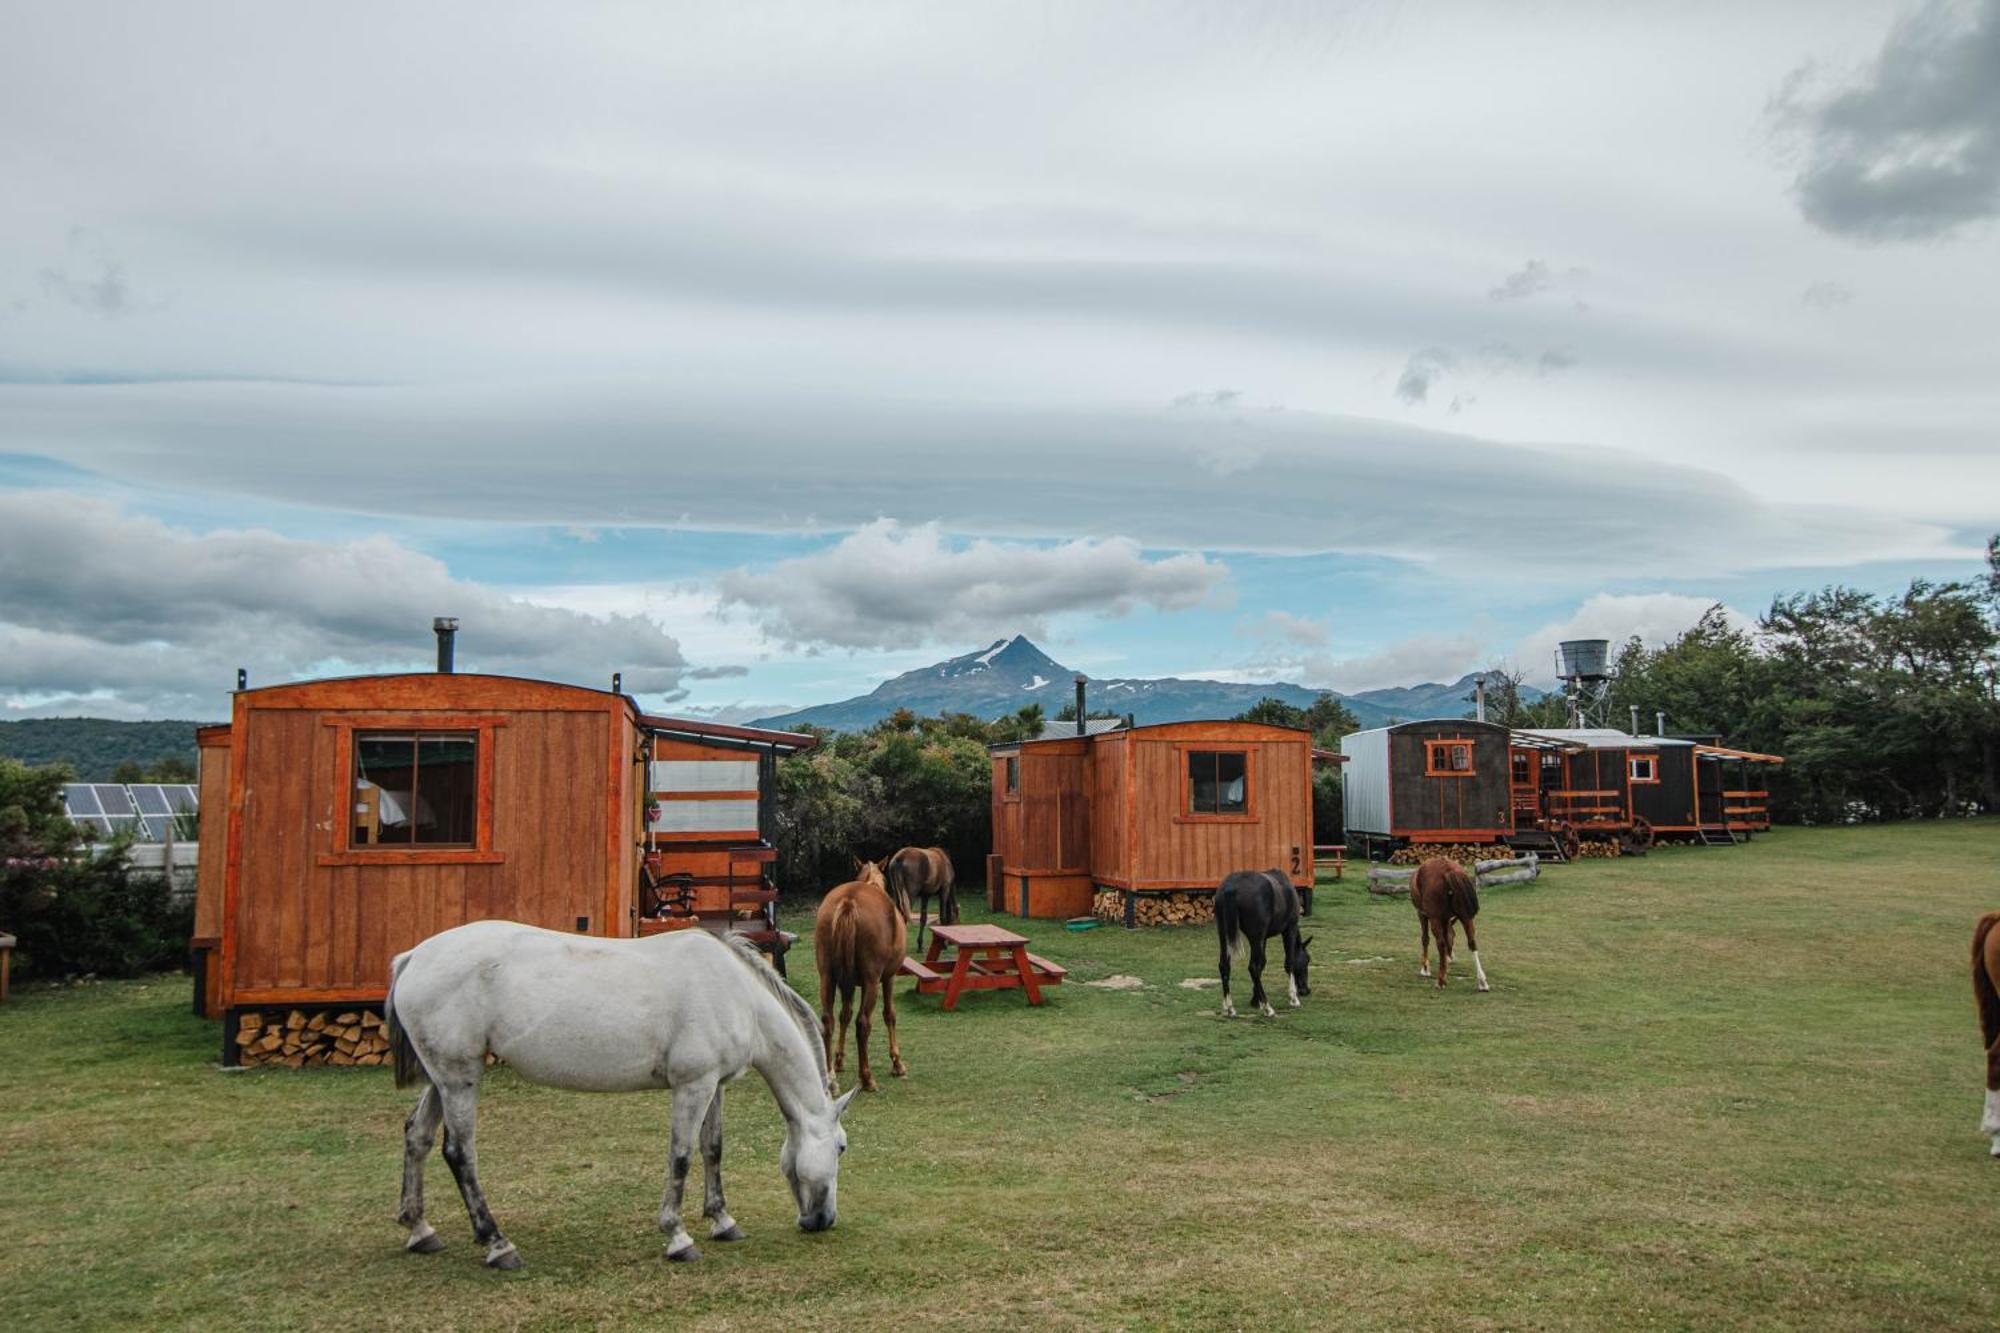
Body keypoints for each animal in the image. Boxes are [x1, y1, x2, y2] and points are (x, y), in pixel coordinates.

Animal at [386, 912, 856, 1264]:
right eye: (841, 1147)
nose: (825, 1220)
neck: (737, 992)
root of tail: (412, 957)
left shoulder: (714, 1085)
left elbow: (712, 1149)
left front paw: (723, 1221)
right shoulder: (692, 1086)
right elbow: (681, 1156)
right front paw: (678, 1237)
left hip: (443, 1078)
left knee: (417, 1136)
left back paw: (420, 1230)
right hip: (459, 1078)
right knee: (459, 1153)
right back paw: (497, 1243)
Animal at [808, 860, 912, 1088]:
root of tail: (849, 900)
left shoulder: (847, 983)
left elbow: (844, 1015)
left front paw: (838, 1060)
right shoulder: (888, 978)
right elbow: (889, 1014)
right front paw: (897, 1063)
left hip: (827, 977)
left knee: (828, 1020)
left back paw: (830, 1077)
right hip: (872, 982)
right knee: (863, 1023)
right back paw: (866, 1077)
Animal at [1208, 868, 1304, 1012]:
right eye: (1307, 961)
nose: (1306, 991)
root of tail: (1230, 888)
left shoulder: (1263, 938)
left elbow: (1262, 963)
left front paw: (1255, 1000)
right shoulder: (1289, 929)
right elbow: (1289, 962)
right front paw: (1293, 997)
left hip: (1224, 934)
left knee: (1224, 965)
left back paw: (1229, 1006)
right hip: (1255, 937)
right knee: (1253, 967)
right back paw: (1268, 1008)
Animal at [1408, 852, 1488, 984]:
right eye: (1454, 937)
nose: (1450, 957)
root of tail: (1448, 869)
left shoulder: (1422, 914)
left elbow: (1425, 939)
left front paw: (1425, 968)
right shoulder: (1446, 919)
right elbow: (1447, 937)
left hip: (1434, 918)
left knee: (1440, 943)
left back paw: (1440, 981)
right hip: (1465, 916)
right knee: (1472, 942)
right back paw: (1482, 981)